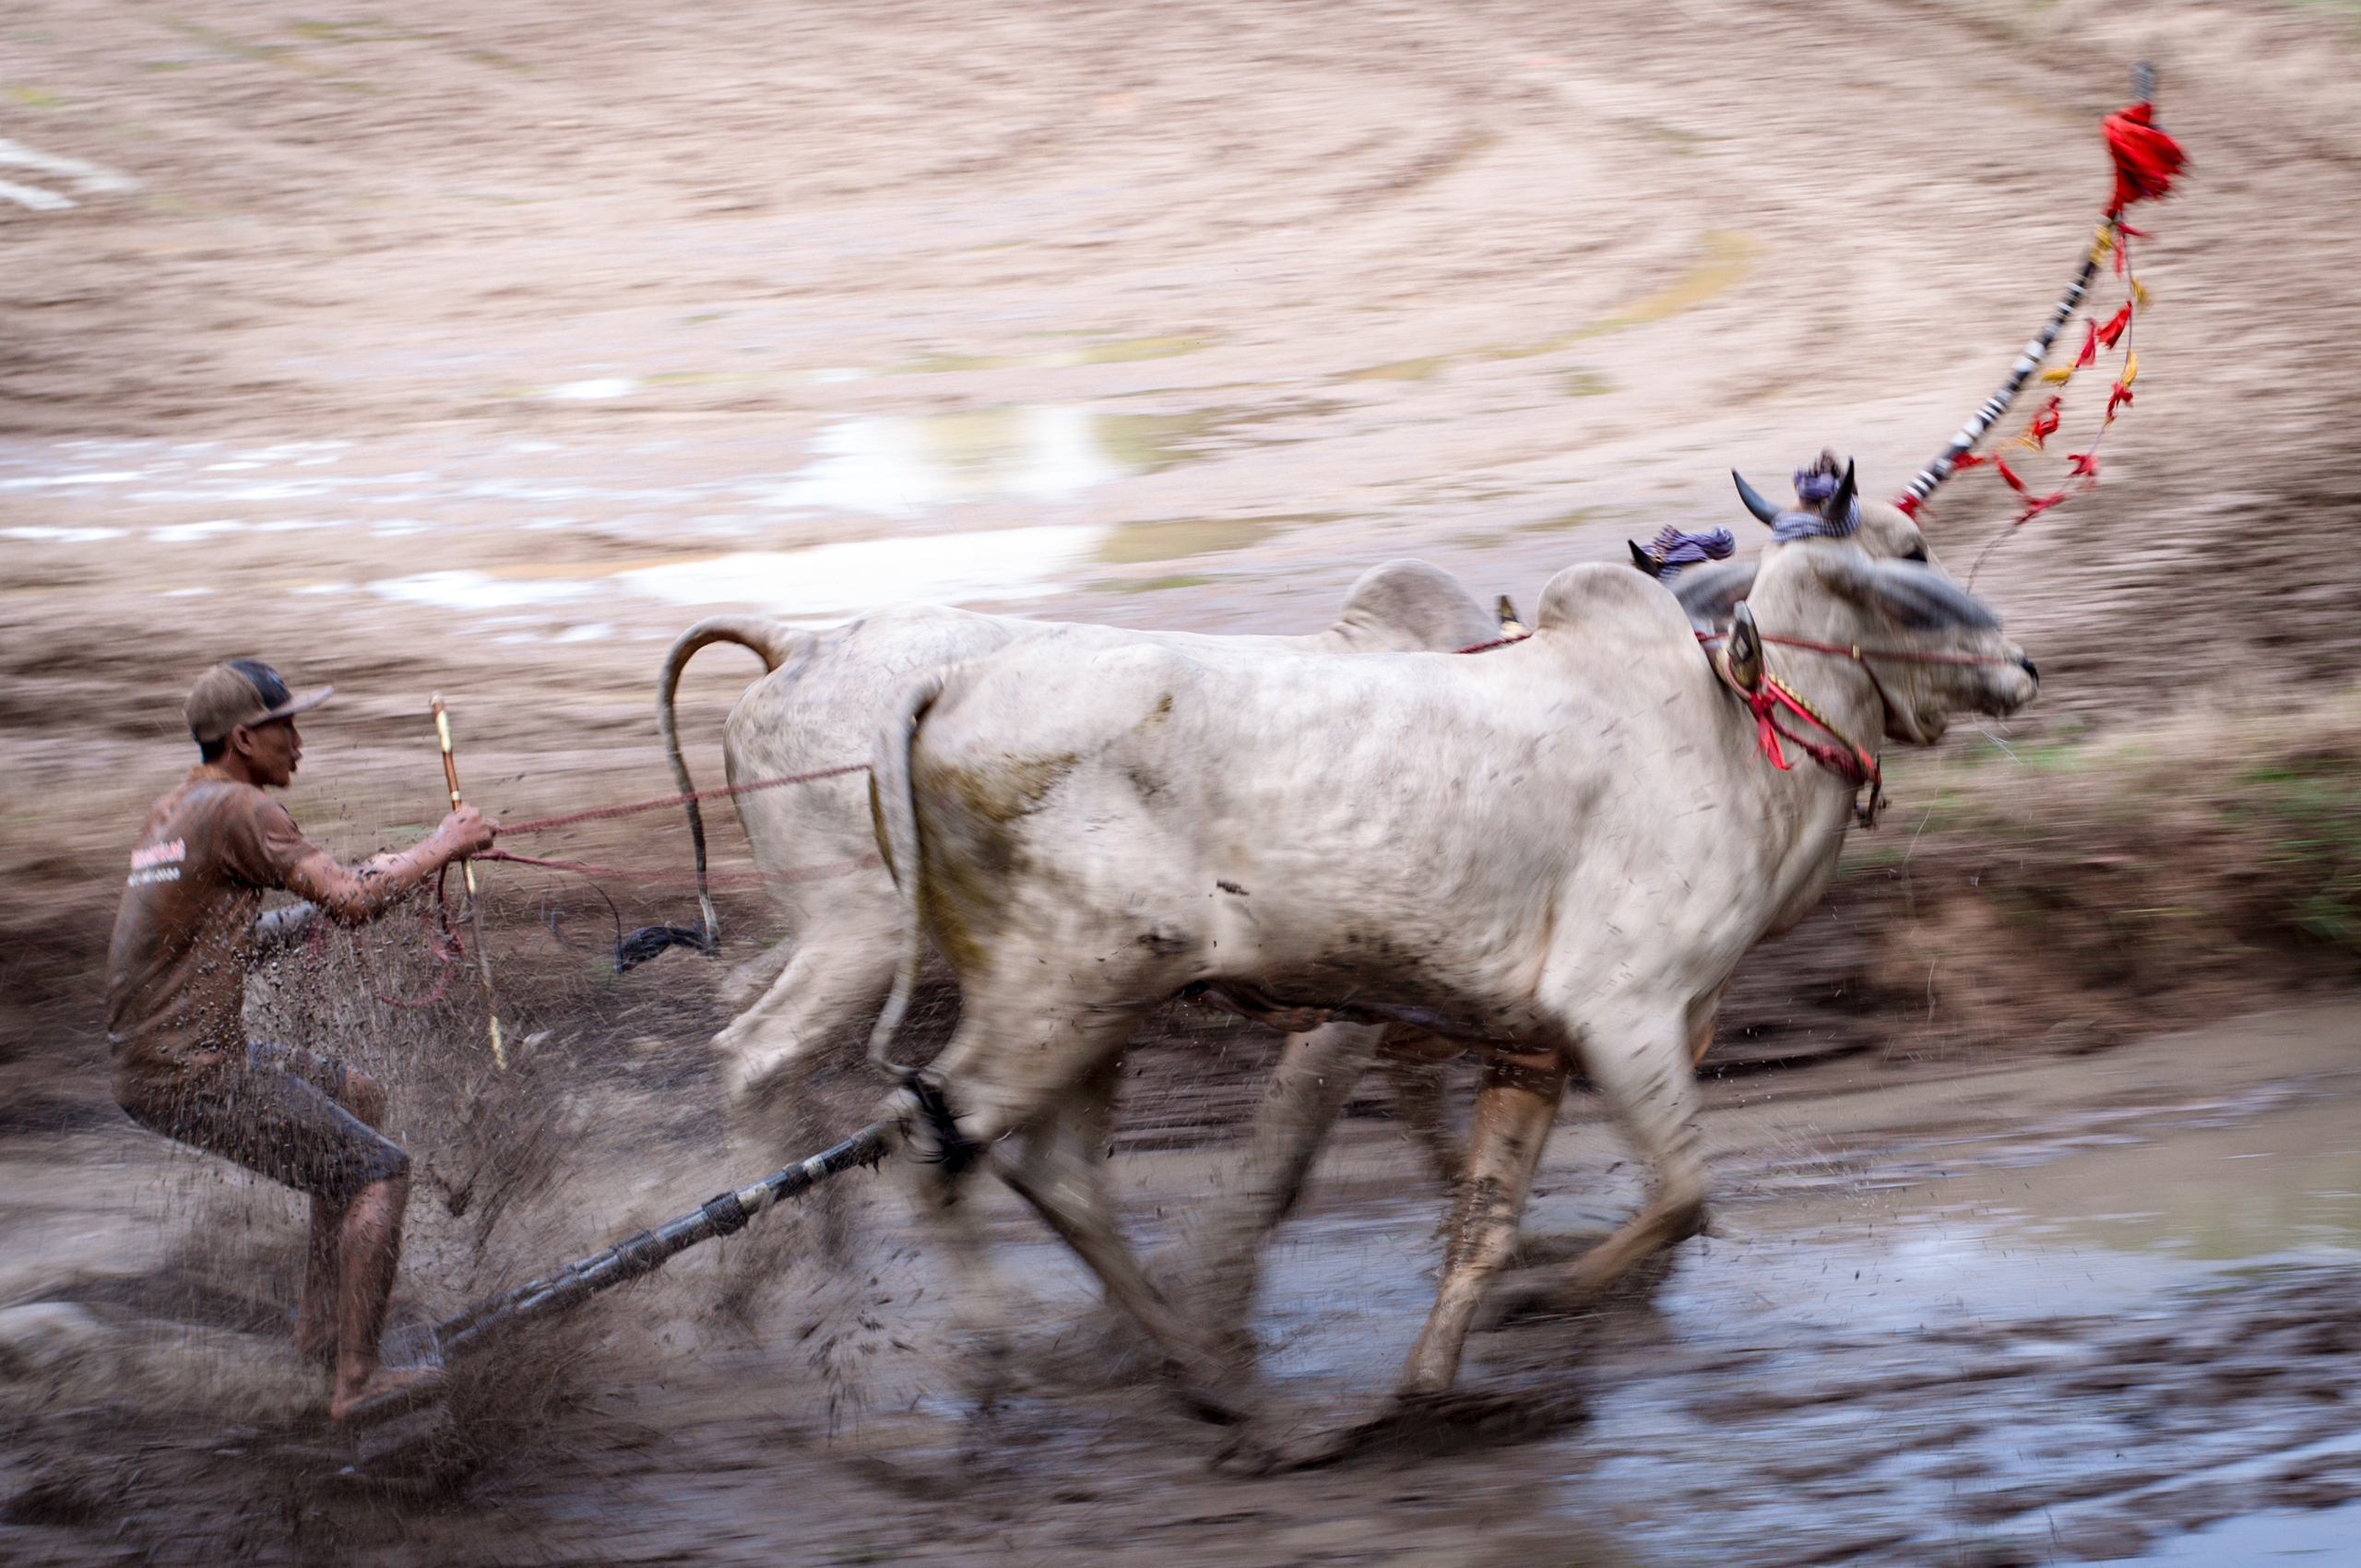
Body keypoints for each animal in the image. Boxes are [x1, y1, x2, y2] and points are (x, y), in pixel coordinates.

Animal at [869, 467, 2030, 1417]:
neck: (1729, 736)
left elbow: (1486, 1218)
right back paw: (1003, 1364)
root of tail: (949, 685)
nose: (2022, 661)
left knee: (1047, 1171)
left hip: (1101, 1005)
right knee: (935, 1135)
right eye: (1910, 555)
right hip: (1061, 990)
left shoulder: (1535, 1046)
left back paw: (1210, 1381)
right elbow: (1685, 1193)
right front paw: (1547, 1297)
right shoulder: (1624, 1015)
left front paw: (1430, 1386)